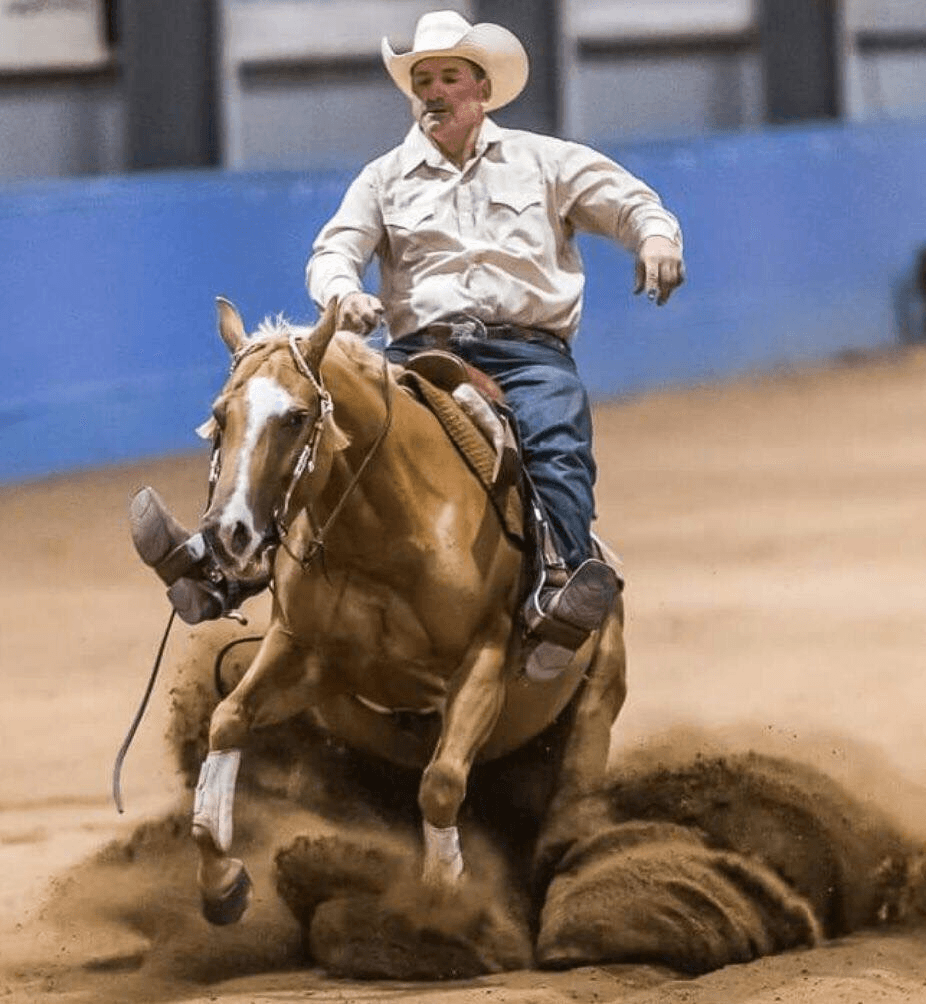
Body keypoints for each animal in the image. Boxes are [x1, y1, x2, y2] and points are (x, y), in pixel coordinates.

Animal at [187, 297, 627, 925]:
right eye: (221, 415)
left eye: (296, 417)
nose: (229, 533)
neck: (383, 537)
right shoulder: (305, 653)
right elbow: (228, 718)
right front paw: (221, 883)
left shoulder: (487, 657)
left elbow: (440, 783)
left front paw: (443, 902)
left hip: (598, 697)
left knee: (571, 795)